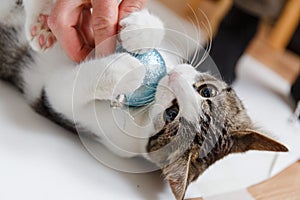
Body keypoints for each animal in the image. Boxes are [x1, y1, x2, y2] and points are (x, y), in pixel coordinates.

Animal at [0, 0, 288, 199]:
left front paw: (127, 69)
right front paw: (139, 28)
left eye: (172, 114)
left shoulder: (55, 101)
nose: (173, 77)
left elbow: (66, 89)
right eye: (207, 92)